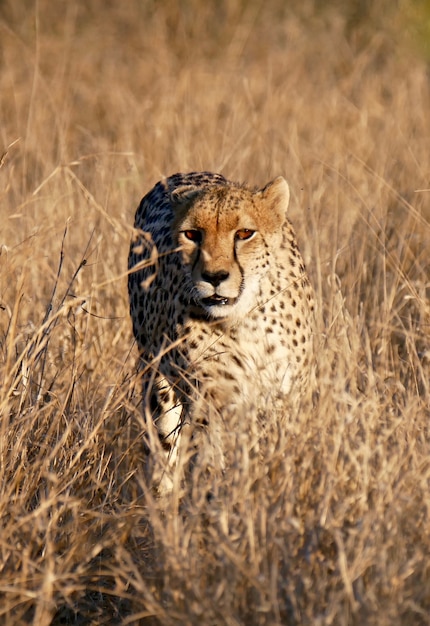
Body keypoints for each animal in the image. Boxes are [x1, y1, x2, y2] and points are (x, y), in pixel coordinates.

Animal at [128, 171, 316, 492]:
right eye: (192, 235)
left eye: (244, 233)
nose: (214, 277)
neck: (246, 319)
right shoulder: (213, 396)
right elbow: (215, 454)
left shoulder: (286, 396)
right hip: (156, 379)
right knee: (165, 448)